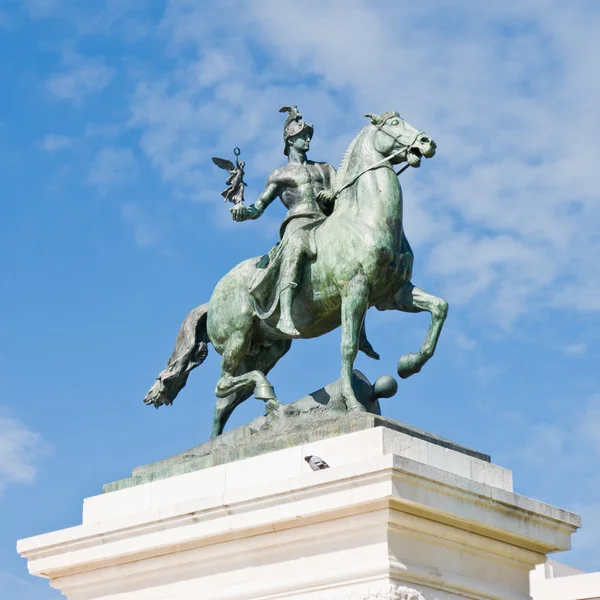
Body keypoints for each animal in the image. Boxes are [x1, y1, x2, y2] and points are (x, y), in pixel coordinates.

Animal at [144, 110, 446, 438]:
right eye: (393, 124)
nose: (427, 142)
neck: (365, 220)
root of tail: (211, 301)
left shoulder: (393, 295)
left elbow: (439, 308)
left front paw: (410, 364)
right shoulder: (355, 290)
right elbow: (348, 348)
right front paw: (354, 404)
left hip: (266, 351)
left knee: (225, 399)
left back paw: (239, 428)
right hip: (237, 339)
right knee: (222, 385)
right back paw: (267, 397)